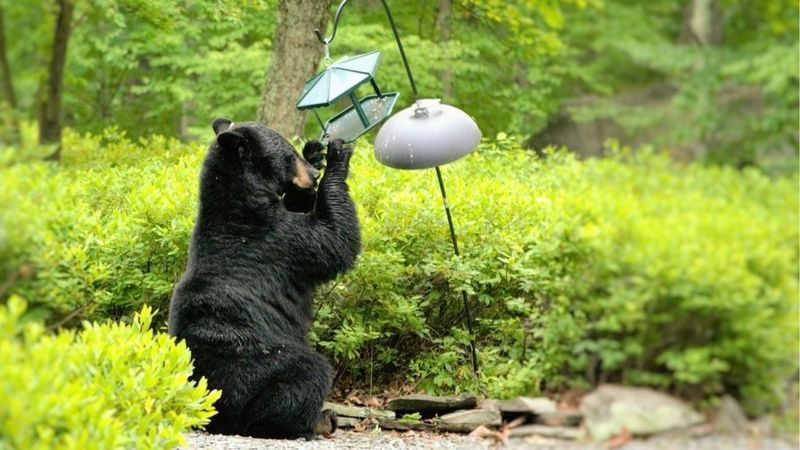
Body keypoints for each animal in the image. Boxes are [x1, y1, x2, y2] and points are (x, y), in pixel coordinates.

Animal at [168, 118, 361, 439]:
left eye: (294, 150)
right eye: (288, 156)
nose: (312, 174)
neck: (242, 205)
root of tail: (215, 412)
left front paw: (316, 153)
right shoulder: (278, 240)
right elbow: (333, 241)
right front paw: (336, 156)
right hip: (261, 364)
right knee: (306, 375)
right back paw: (314, 421)